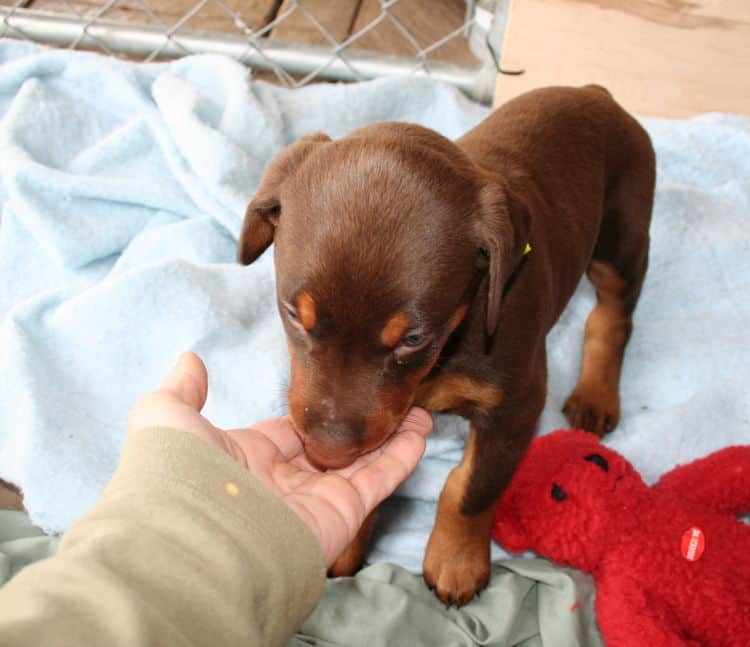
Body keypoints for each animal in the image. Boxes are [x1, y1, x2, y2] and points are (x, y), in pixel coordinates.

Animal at [238, 86, 656, 608]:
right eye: (294, 314)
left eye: (414, 338)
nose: (328, 453)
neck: (448, 349)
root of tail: (595, 93)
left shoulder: (516, 403)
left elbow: (472, 488)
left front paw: (457, 561)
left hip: (623, 234)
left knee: (613, 315)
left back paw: (596, 395)